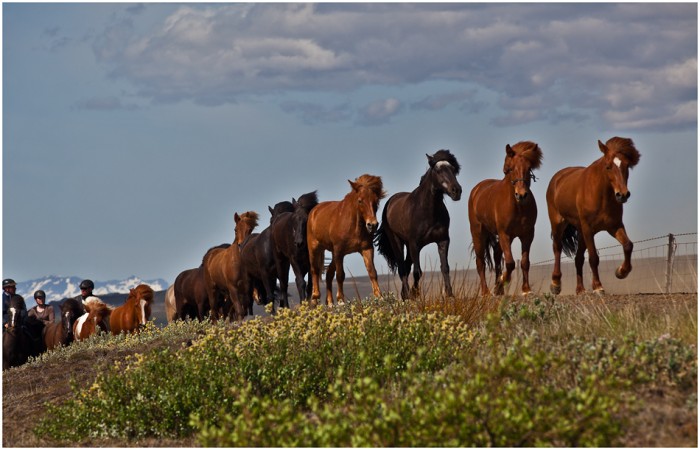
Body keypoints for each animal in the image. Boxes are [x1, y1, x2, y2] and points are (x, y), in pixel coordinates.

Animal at [308, 173, 386, 306]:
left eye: (376, 201)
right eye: (360, 200)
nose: (372, 225)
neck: (354, 226)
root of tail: (314, 211)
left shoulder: (366, 249)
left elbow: (372, 272)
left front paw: (379, 297)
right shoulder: (339, 250)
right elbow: (340, 275)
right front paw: (341, 300)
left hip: (334, 254)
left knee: (329, 273)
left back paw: (330, 303)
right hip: (315, 248)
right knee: (315, 270)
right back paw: (315, 297)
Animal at [374, 149, 462, 300]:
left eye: (453, 169)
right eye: (438, 170)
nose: (456, 191)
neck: (428, 211)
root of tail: (390, 202)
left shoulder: (443, 241)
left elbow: (445, 268)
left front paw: (450, 294)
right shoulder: (414, 243)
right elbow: (417, 272)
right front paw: (415, 295)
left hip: (411, 247)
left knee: (406, 266)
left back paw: (405, 294)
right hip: (398, 242)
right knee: (402, 268)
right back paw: (406, 295)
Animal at [468, 141, 544, 296]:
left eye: (529, 168)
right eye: (510, 169)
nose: (521, 194)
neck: (517, 206)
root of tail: (476, 190)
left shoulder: (527, 235)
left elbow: (524, 262)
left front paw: (526, 289)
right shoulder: (505, 234)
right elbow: (510, 263)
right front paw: (502, 282)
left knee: (497, 255)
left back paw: (499, 288)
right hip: (478, 234)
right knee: (480, 263)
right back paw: (486, 292)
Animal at [548, 135, 640, 294]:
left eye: (627, 166)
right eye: (608, 166)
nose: (622, 195)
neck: (601, 196)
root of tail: (557, 178)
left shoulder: (614, 226)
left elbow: (628, 245)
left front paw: (621, 272)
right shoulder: (588, 229)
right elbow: (593, 258)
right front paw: (598, 287)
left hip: (581, 232)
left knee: (578, 258)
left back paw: (580, 290)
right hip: (559, 224)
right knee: (557, 249)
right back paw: (556, 283)